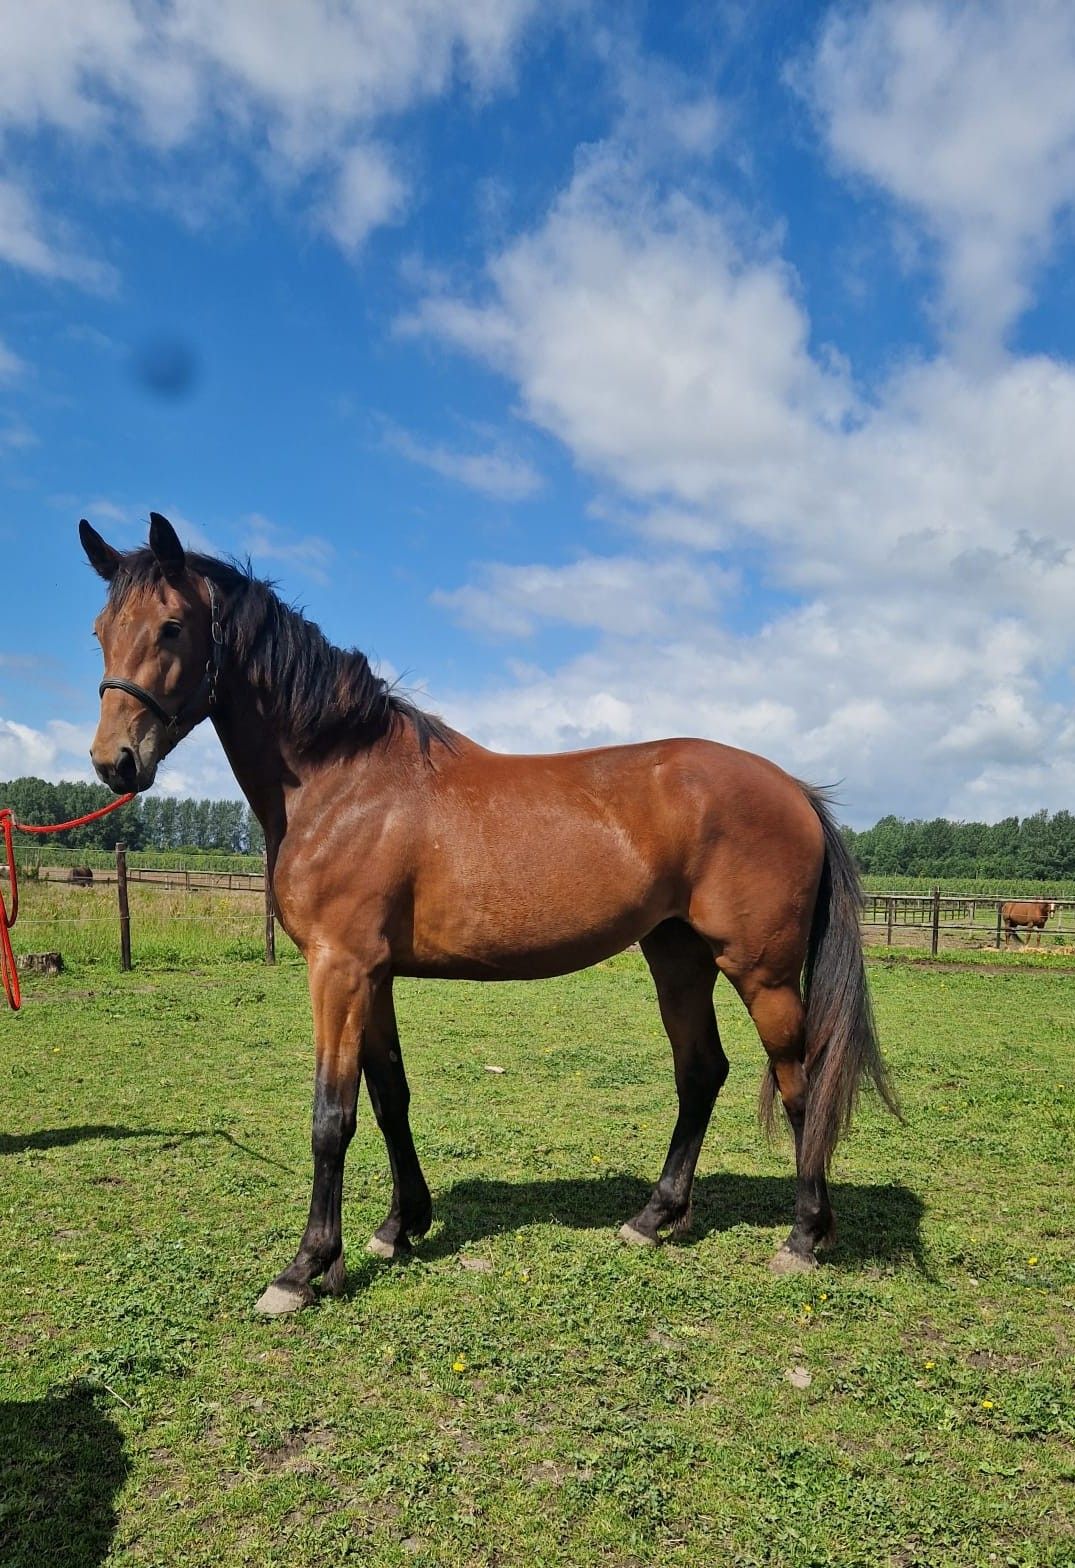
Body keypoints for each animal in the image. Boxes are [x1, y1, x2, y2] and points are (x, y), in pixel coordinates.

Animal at [80, 513, 898, 1315]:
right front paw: (398, 1228)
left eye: (173, 627)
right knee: (700, 1073)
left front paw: (305, 1268)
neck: (340, 781)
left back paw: (803, 1237)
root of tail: (793, 790)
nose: (114, 761)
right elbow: (389, 1098)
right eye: (99, 630)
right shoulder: (374, 975)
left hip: (760, 973)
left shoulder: (339, 969)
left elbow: (330, 1117)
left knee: (798, 1081)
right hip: (676, 956)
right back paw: (653, 1217)